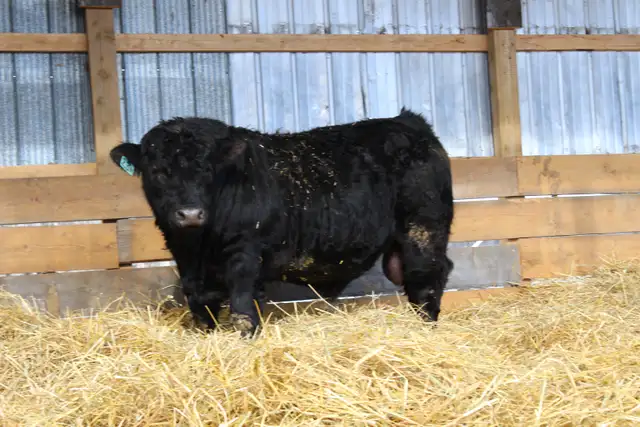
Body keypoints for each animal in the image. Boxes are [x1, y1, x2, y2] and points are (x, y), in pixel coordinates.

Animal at [109, 108, 454, 337]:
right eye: (158, 171)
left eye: (209, 170)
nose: (191, 214)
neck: (200, 247)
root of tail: (407, 122)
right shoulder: (189, 267)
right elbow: (202, 310)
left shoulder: (246, 257)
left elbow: (242, 310)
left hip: (423, 230)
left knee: (427, 280)